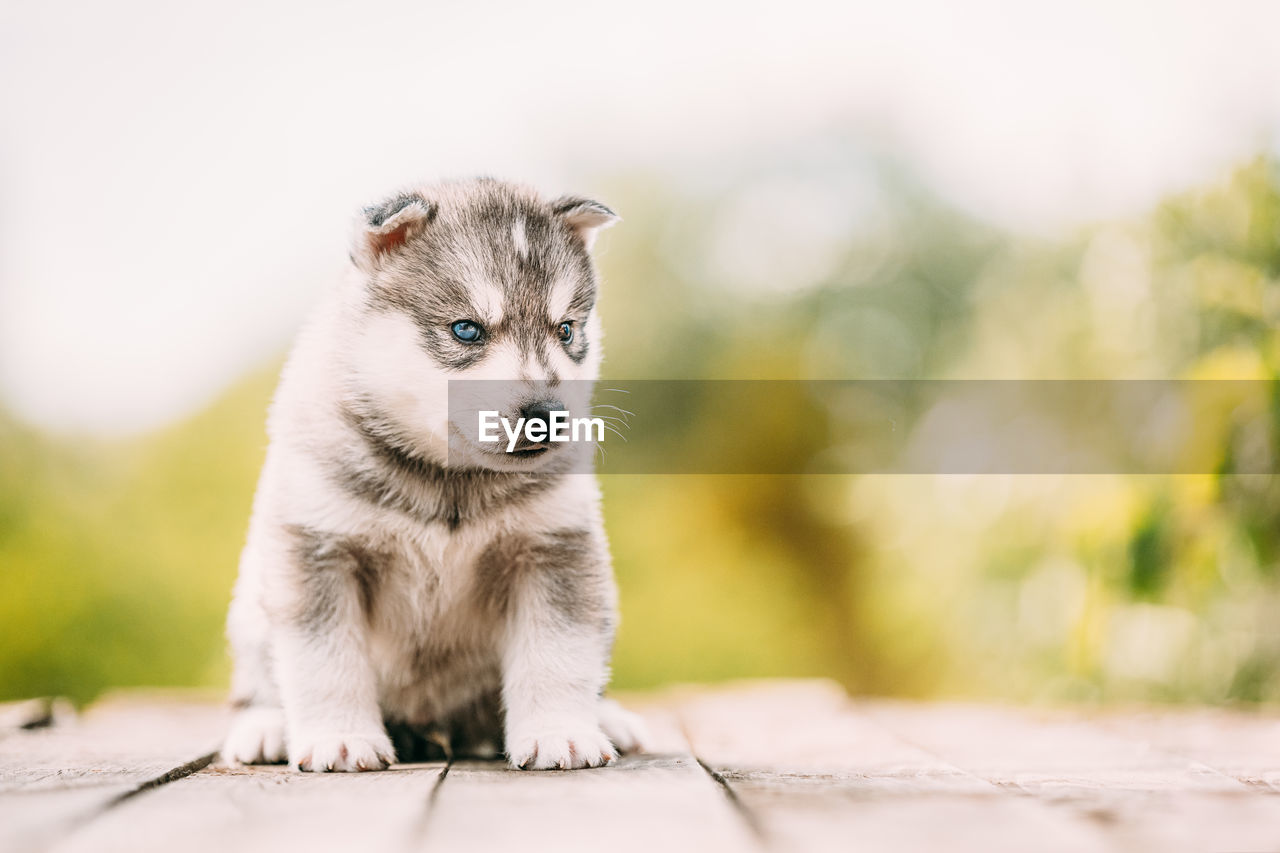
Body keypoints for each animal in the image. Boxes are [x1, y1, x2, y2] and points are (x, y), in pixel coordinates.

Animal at [218, 179, 650, 768]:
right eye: (466, 330)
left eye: (565, 330)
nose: (548, 415)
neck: (449, 480)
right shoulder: (318, 548)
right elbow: (325, 661)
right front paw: (341, 738)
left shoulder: (554, 547)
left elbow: (557, 655)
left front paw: (560, 732)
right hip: (252, 603)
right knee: (261, 679)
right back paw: (265, 728)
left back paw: (608, 718)